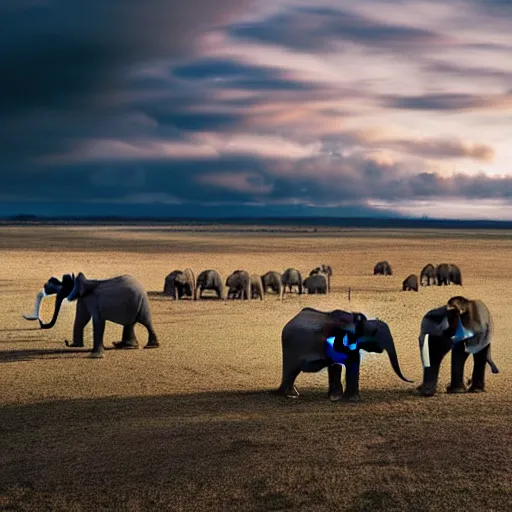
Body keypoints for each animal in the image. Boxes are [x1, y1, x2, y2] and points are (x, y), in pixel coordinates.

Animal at [23, 272, 159, 360]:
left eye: (63, 288)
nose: (66, 342)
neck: (82, 280)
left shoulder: (92, 300)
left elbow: (96, 320)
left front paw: (94, 356)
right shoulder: (83, 299)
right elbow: (81, 319)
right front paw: (76, 346)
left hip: (140, 302)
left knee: (143, 322)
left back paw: (147, 346)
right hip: (137, 303)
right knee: (136, 322)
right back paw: (125, 345)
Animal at [276, 306, 412, 402]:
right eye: (375, 332)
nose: (412, 381)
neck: (357, 322)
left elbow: (336, 365)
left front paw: (335, 397)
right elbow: (352, 362)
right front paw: (353, 400)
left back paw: (292, 394)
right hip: (291, 347)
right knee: (291, 371)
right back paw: (288, 395)